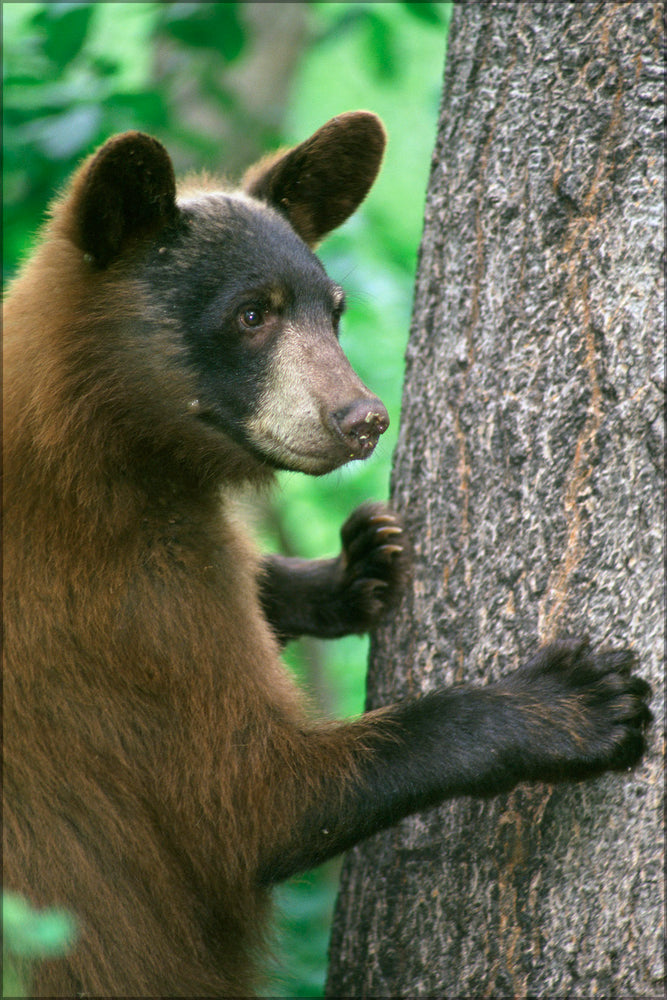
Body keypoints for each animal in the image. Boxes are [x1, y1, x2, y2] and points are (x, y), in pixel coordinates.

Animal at [3, 111, 651, 997]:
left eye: (332, 309)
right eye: (252, 314)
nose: (364, 418)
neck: (92, 446)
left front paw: (352, 568)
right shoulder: (115, 603)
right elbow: (246, 799)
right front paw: (567, 706)